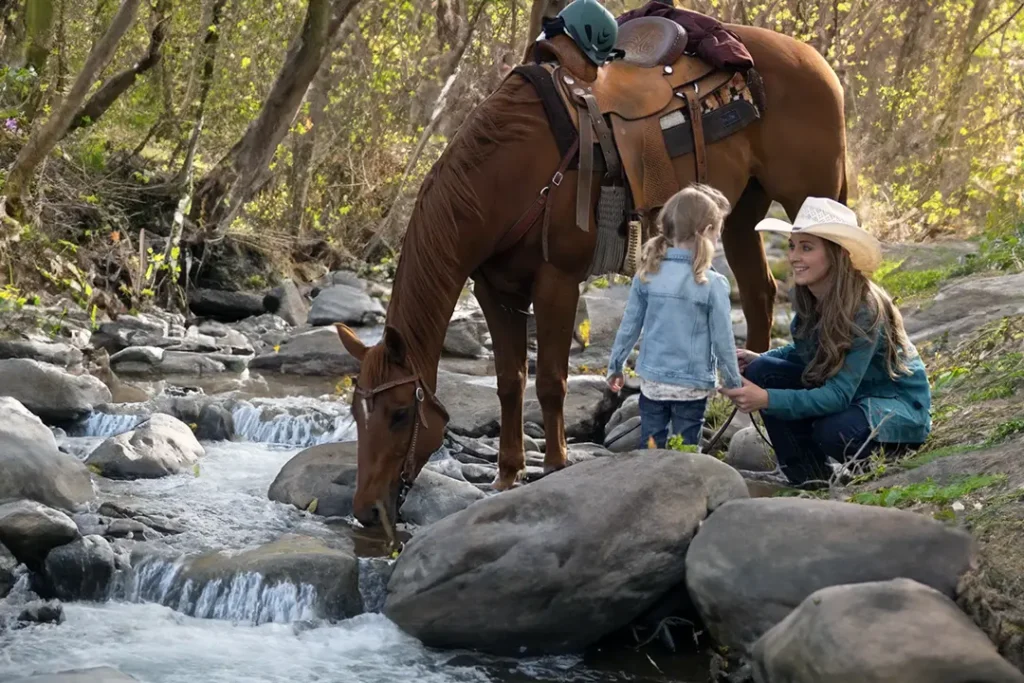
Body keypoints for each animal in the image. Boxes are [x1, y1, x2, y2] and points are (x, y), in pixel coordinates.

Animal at [335, 9, 847, 528]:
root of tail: (814, 59)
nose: (366, 511)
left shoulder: (557, 281)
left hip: (812, 196)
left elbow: (550, 382)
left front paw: (556, 464)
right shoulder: (495, 292)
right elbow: (509, 383)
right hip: (742, 210)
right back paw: (740, 412)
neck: (507, 176)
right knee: (760, 292)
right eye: (357, 412)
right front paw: (507, 474)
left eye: (400, 413)